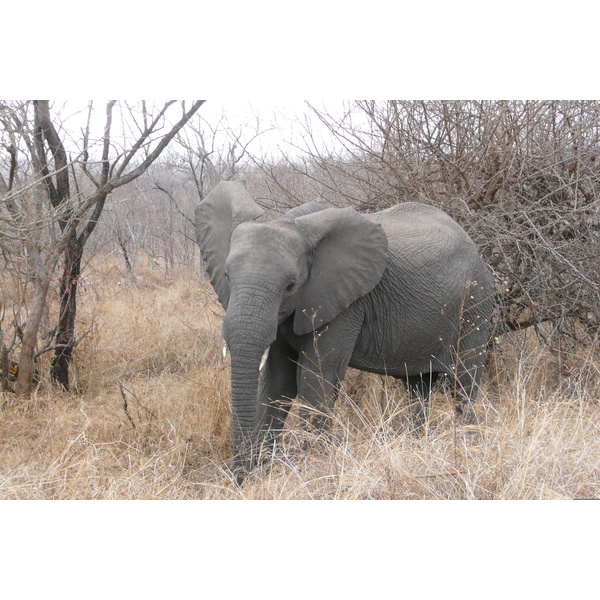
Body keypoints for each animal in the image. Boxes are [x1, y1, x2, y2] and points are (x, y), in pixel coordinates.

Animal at [195, 178, 494, 482]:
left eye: (290, 286)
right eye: (227, 276)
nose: (240, 479)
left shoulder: (345, 304)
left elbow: (317, 378)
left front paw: (314, 470)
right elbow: (278, 381)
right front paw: (261, 477)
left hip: (475, 304)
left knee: (463, 384)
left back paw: (470, 447)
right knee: (418, 386)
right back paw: (417, 445)